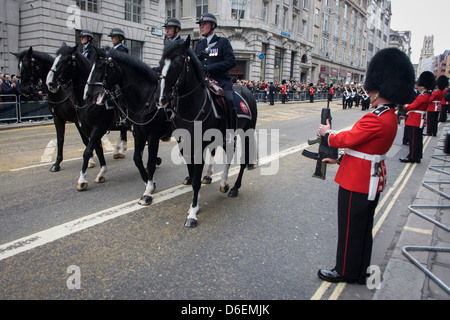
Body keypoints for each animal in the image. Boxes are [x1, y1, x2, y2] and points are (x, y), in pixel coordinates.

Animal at [46, 43, 128, 191]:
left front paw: (82, 180)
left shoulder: (98, 127)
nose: (50, 83)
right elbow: (98, 149)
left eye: (65, 61)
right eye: (55, 59)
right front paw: (101, 173)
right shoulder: (87, 128)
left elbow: (87, 150)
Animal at [83, 46, 171, 204]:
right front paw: (149, 184)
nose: (87, 95)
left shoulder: (153, 136)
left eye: (100, 67)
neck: (146, 99)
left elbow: (149, 162)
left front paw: (148, 192)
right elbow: (137, 159)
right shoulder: (138, 134)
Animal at [158, 36, 256, 228]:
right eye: (161, 63)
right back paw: (224, 183)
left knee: (242, 161)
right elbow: (192, 174)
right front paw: (193, 204)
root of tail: (246, 89)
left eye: (178, 62)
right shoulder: (184, 144)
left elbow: (196, 180)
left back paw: (234, 188)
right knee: (229, 155)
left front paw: (193, 214)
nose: (162, 99)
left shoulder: (199, 145)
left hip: (246, 133)